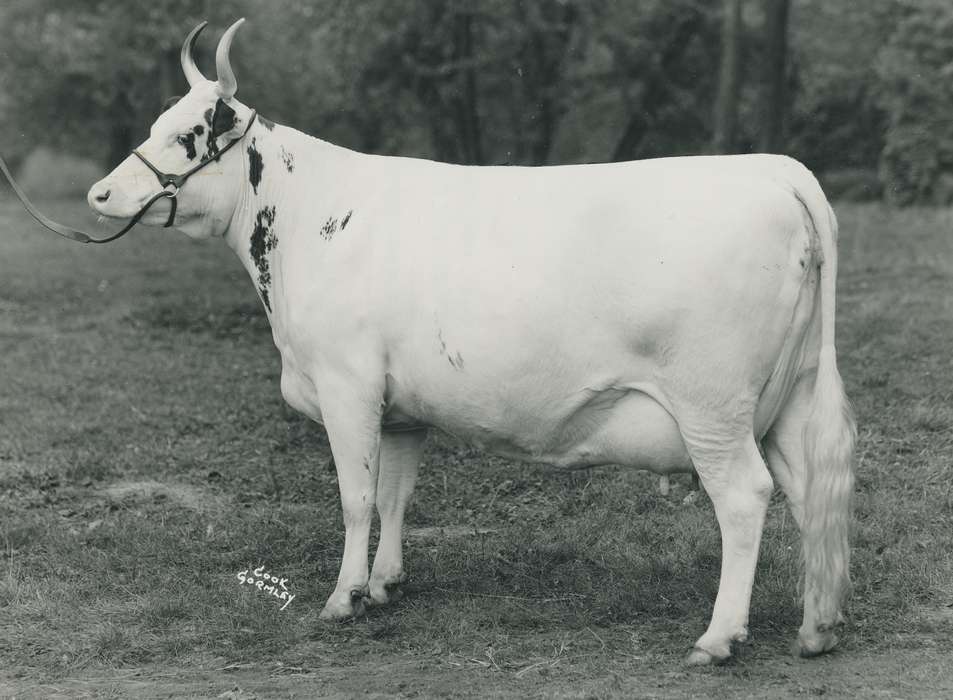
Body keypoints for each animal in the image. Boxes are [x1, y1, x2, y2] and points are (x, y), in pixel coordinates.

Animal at [87, 20, 856, 664]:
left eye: (185, 134)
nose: (99, 194)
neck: (310, 217)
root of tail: (773, 168)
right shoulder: (399, 409)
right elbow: (394, 495)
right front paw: (384, 584)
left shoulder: (345, 383)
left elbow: (356, 496)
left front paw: (343, 597)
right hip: (788, 397)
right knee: (807, 488)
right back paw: (816, 625)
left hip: (711, 405)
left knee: (745, 497)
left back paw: (718, 637)